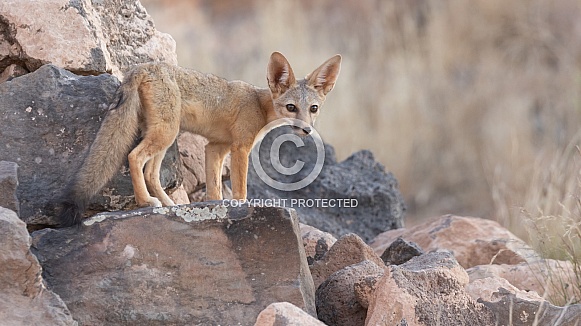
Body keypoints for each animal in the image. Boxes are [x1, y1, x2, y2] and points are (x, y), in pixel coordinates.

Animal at [56, 52, 340, 228]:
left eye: (313, 109)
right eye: (291, 107)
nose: (306, 130)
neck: (260, 105)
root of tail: (144, 66)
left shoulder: (215, 148)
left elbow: (214, 191)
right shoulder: (240, 148)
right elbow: (241, 190)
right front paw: (241, 207)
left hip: (164, 136)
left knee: (151, 173)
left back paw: (167, 205)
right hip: (166, 133)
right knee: (134, 157)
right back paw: (145, 201)